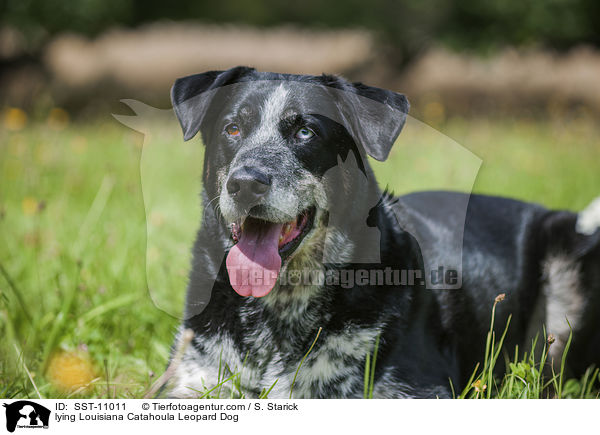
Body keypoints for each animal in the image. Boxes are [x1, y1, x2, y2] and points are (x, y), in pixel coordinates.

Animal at [163, 65, 600, 398]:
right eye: (233, 129)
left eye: (305, 132)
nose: (245, 183)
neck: (282, 309)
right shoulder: (191, 382)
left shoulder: (416, 390)